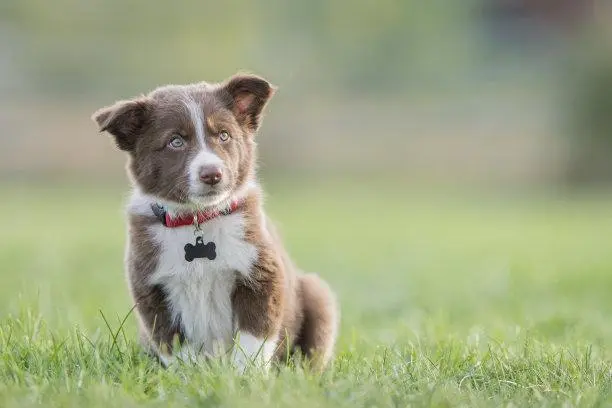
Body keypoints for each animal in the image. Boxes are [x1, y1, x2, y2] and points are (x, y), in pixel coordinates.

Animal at [91, 73, 340, 370]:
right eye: (175, 141)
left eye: (224, 135)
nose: (212, 174)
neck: (197, 218)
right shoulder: (152, 292)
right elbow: (177, 345)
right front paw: (193, 375)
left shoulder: (261, 277)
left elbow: (252, 339)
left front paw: (245, 376)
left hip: (317, 295)